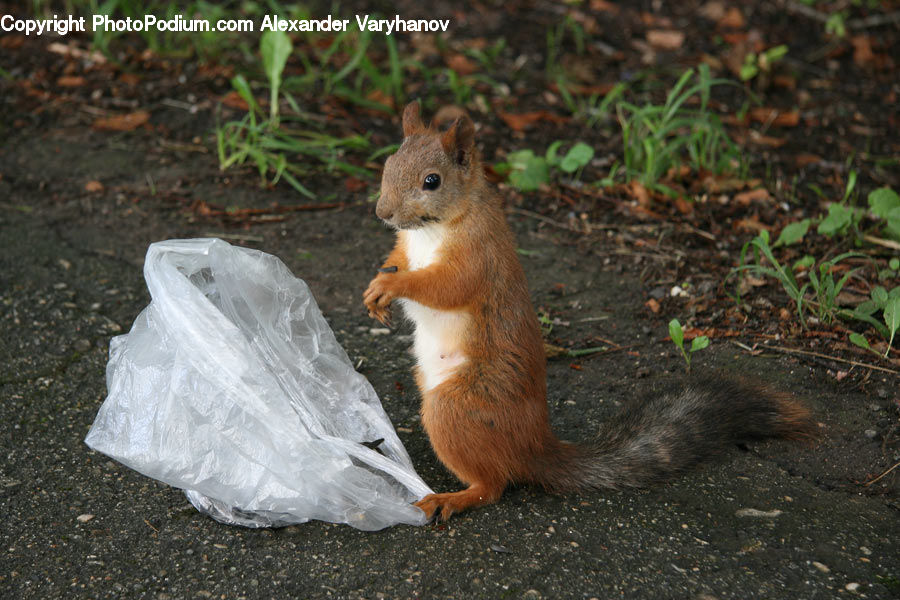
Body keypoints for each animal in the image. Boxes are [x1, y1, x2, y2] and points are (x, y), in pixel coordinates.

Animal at [363, 101, 815, 522]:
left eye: (432, 181)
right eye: (388, 163)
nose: (382, 213)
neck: (433, 228)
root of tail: (535, 448)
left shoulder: (477, 258)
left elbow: (443, 286)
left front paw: (392, 287)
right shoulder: (407, 247)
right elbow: (397, 258)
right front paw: (374, 290)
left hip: (457, 409)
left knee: (493, 485)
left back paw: (453, 498)